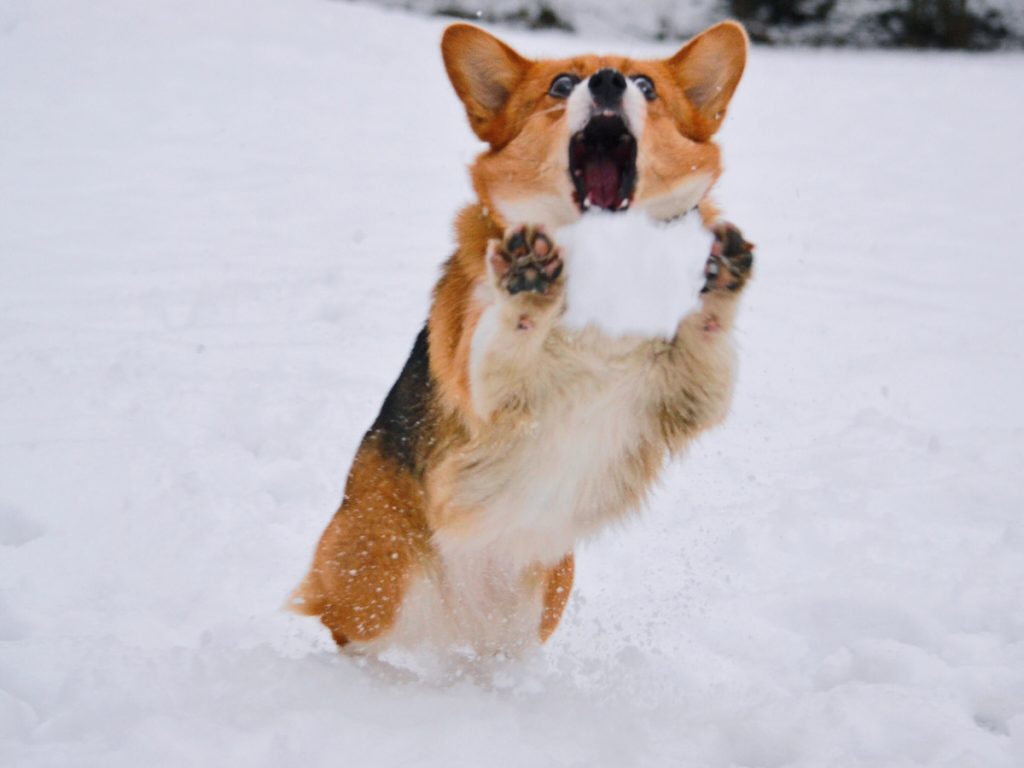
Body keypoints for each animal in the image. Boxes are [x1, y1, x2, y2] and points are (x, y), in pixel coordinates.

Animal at [292, 19, 757, 655]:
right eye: (561, 84)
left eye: (645, 85)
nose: (608, 82)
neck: (603, 265)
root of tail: (456, 634)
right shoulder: (487, 389)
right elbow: (510, 338)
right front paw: (530, 280)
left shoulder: (686, 398)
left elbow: (707, 343)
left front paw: (717, 280)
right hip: (375, 577)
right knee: (354, 638)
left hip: (534, 606)